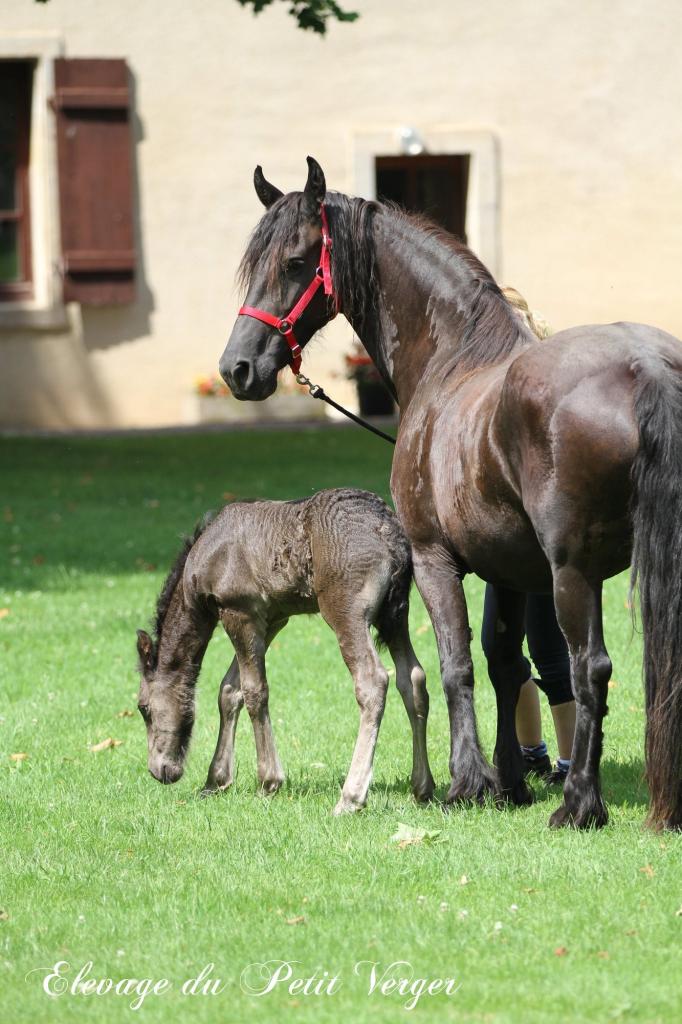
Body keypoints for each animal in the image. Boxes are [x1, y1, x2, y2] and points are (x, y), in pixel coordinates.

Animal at [133, 487, 432, 815]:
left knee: (373, 680)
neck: (203, 560)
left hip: (347, 612)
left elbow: (254, 691)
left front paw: (268, 781)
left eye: (143, 708)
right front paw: (215, 780)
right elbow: (230, 690)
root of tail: (388, 529)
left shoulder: (239, 611)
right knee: (413, 678)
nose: (159, 770)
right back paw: (422, 787)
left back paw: (351, 796)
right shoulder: (272, 619)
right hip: (395, 615)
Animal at [218, 157, 679, 831]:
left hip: (575, 573)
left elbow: (454, 663)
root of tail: (645, 366)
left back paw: (578, 804)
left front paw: (467, 781)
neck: (452, 358)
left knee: (588, 669)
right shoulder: (512, 571)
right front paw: (509, 781)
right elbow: (503, 661)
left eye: (296, 262)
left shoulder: (434, 558)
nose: (237, 369)